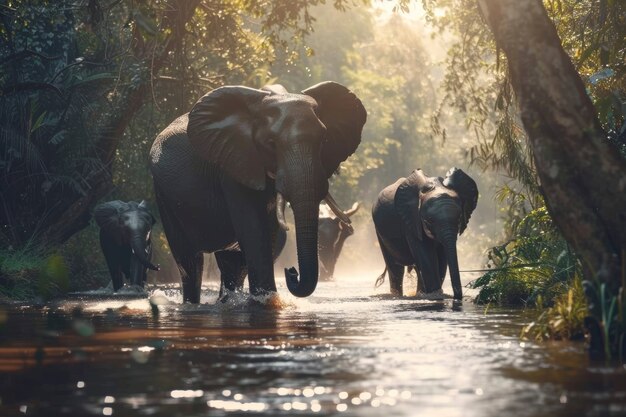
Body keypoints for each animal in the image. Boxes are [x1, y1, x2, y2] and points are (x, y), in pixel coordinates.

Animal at [149, 82, 366, 302]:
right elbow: (254, 228)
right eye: (271, 144)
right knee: (189, 261)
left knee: (230, 263)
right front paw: (268, 303)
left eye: (323, 141)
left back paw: (226, 302)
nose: (291, 271)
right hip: (163, 195)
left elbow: (268, 231)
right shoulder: (234, 163)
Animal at [370, 167, 478, 300]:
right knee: (395, 267)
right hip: (379, 231)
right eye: (428, 221)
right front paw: (434, 294)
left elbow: (442, 257)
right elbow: (426, 255)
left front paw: (434, 294)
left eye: (459, 220)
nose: (457, 297)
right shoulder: (410, 221)